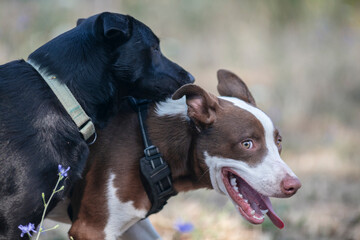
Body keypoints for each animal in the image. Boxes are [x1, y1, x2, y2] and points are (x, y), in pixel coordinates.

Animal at [67, 70, 300, 240]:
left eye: (278, 142)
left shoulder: (130, 226)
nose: (294, 186)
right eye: (247, 144)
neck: (151, 148)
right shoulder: (92, 229)